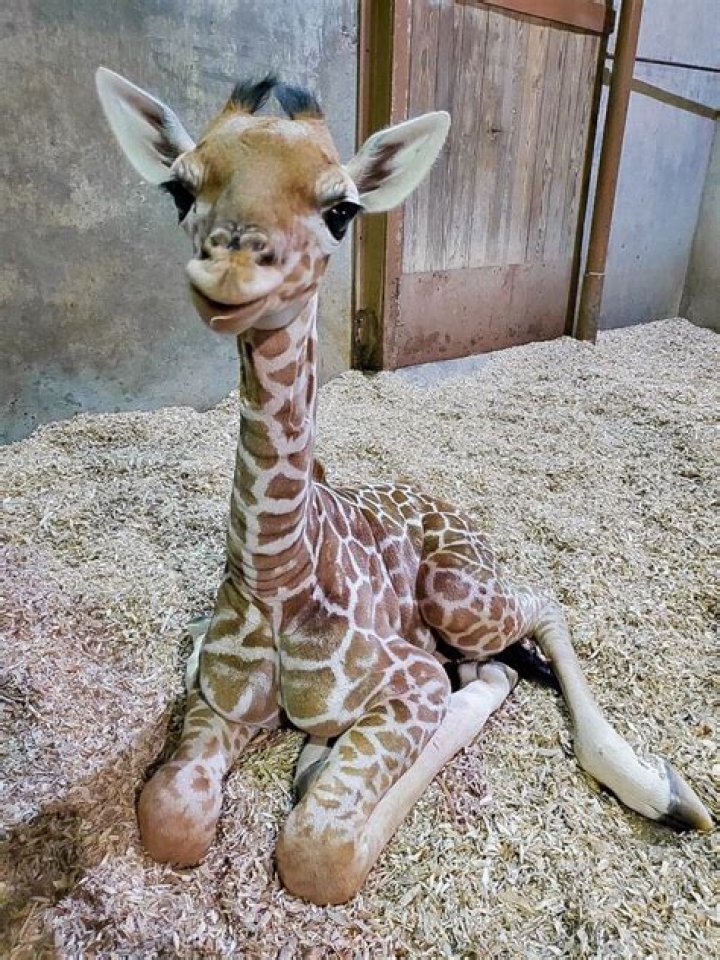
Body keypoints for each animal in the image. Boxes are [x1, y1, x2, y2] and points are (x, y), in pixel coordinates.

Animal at [95, 68, 712, 905]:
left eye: (341, 208)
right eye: (180, 189)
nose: (228, 272)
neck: (277, 573)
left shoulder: (411, 681)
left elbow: (319, 851)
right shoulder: (214, 692)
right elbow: (169, 816)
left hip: (455, 592)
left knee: (535, 615)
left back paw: (662, 791)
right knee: (499, 657)